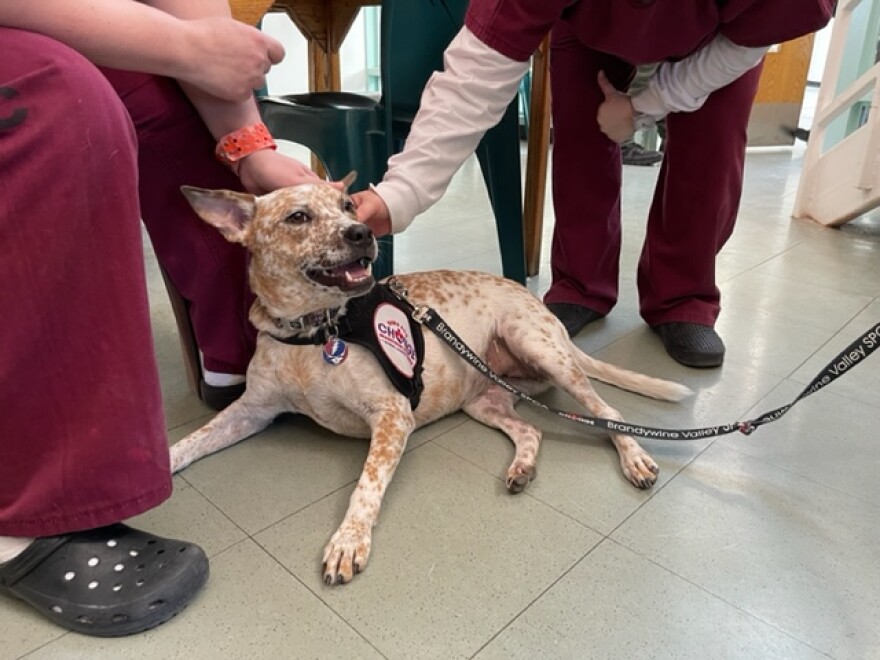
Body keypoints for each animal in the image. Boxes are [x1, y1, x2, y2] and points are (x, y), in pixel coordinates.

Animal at [172, 173, 692, 584]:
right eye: (298, 217)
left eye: (347, 206)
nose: (362, 232)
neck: (316, 331)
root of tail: (538, 304)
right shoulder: (252, 410)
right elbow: (191, 441)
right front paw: (165, 466)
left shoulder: (392, 416)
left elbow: (366, 486)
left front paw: (348, 540)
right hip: (485, 401)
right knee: (532, 429)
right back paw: (522, 467)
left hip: (539, 348)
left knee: (608, 411)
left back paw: (634, 458)